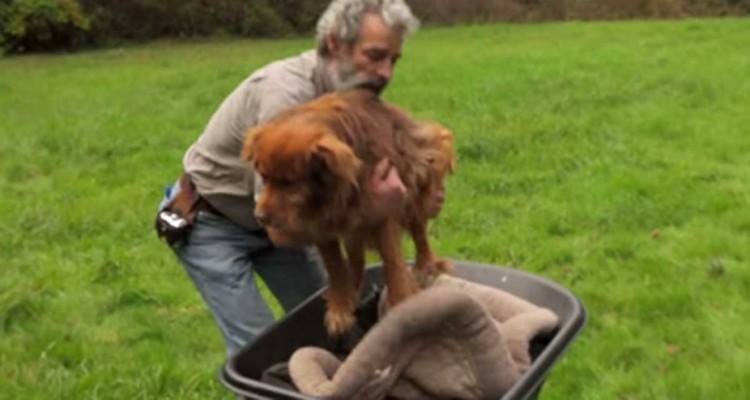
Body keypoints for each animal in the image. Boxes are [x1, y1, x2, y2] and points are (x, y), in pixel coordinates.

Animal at [244, 90, 456, 334]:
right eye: (263, 177)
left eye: (289, 183)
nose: (260, 217)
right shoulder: (321, 224)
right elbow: (335, 267)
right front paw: (340, 307)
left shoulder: (383, 211)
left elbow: (393, 262)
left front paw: (401, 303)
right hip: (352, 227)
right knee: (356, 262)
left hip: (412, 188)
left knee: (418, 231)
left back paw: (426, 264)